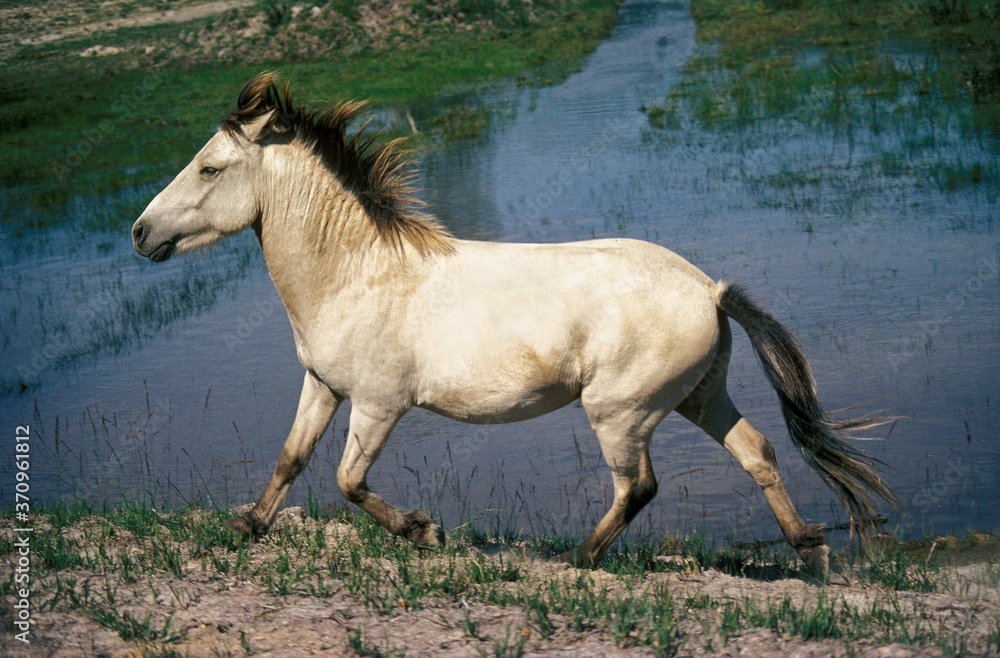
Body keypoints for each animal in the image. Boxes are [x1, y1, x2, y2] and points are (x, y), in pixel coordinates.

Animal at [132, 72, 896, 578]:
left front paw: (424, 532)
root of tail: (710, 290)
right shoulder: (322, 385)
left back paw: (583, 557)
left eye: (210, 167)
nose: (140, 233)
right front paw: (248, 526)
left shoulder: (379, 404)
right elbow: (290, 460)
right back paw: (810, 549)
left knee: (638, 487)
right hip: (698, 396)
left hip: (620, 410)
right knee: (757, 452)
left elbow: (348, 481)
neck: (359, 273)